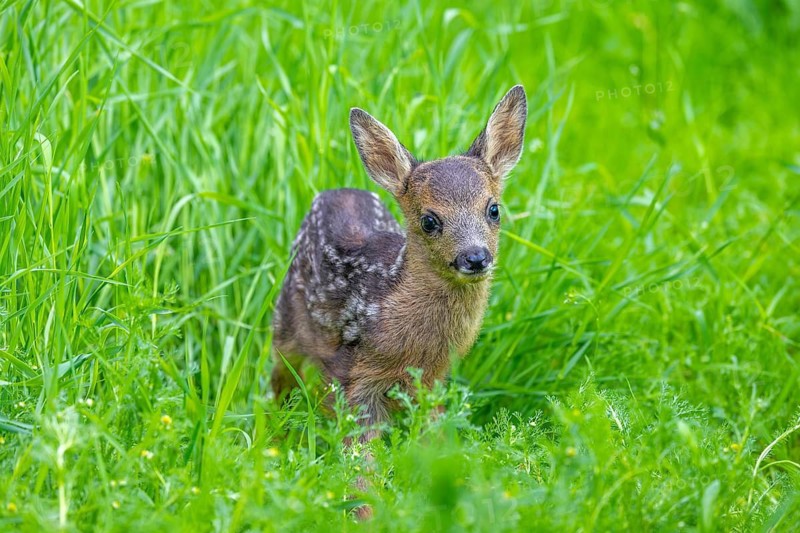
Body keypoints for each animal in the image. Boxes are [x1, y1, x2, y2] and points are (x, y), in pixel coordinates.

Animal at [271, 85, 527, 444]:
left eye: (493, 209)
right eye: (429, 220)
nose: (475, 257)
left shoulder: (431, 379)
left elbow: (433, 430)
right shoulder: (351, 372)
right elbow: (360, 446)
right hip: (284, 323)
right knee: (279, 379)